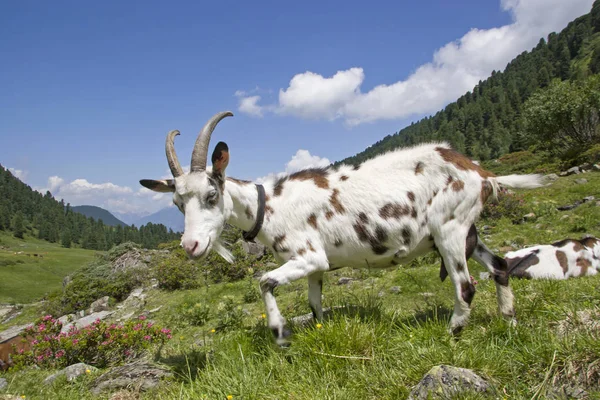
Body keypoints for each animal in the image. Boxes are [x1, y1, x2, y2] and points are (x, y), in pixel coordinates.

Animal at [139, 111, 548, 344]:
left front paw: (280, 333)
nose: (191, 246)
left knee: (466, 287)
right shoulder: (316, 267)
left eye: (211, 194)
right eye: (177, 204)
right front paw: (320, 331)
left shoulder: (308, 255)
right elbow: (314, 302)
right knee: (500, 267)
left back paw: (452, 334)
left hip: (449, 230)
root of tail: (481, 172)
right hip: (467, 232)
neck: (269, 205)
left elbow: (264, 281)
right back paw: (509, 323)